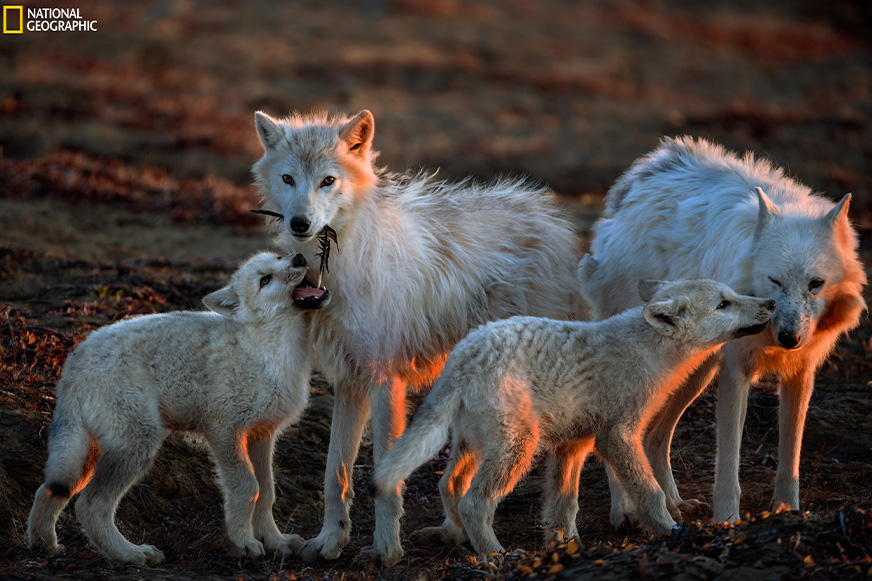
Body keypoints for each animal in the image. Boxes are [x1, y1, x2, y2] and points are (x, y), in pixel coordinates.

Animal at [28, 252, 317, 566]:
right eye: (265, 280)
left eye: (279, 257)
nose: (299, 257)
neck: (268, 348)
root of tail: (73, 364)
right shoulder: (224, 432)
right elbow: (247, 488)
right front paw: (243, 543)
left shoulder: (261, 435)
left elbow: (266, 492)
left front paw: (276, 542)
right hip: (136, 445)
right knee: (90, 505)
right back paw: (131, 554)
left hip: (87, 455)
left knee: (48, 490)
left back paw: (45, 546)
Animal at [251, 109, 581, 564]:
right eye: (288, 179)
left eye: (328, 181)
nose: (301, 224)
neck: (341, 263)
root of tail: (555, 224)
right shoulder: (349, 382)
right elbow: (335, 473)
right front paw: (330, 541)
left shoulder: (385, 382)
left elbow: (385, 477)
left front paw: (385, 551)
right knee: (454, 482)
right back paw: (453, 533)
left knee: (564, 460)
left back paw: (565, 536)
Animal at [373, 275, 775, 557]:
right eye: (723, 304)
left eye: (731, 295)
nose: (770, 302)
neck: (648, 352)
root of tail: (462, 357)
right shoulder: (618, 436)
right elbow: (650, 492)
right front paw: (668, 530)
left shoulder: (573, 445)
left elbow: (563, 505)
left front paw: (565, 547)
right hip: (518, 448)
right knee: (474, 502)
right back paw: (495, 555)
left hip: (474, 446)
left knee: (448, 485)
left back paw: (460, 539)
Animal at [582, 137, 866, 525]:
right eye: (775, 280)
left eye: (816, 284)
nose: (789, 338)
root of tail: (648, 170)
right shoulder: (736, 372)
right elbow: (729, 459)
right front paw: (728, 520)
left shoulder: (801, 373)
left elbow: (790, 457)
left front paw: (787, 511)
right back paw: (624, 511)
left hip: (693, 373)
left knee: (655, 436)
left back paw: (675, 504)